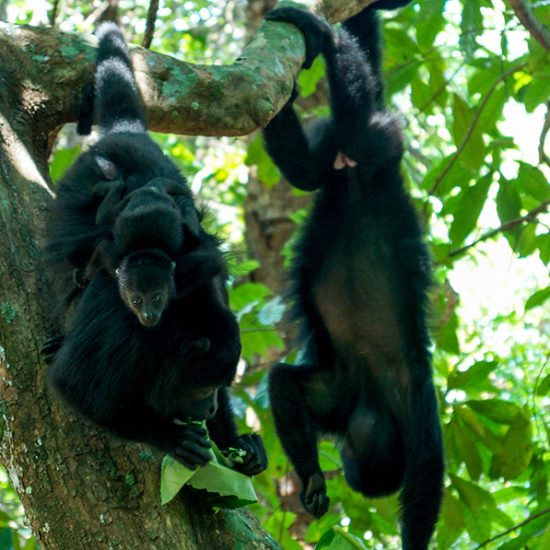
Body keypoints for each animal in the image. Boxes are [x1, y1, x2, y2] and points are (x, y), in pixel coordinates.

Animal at [43, 23, 268, 476]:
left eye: (222, 386)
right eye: (202, 386)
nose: (211, 408)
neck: (177, 321)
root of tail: (126, 135)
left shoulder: (206, 283)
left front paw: (239, 447)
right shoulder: (124, 330)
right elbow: (73, 383)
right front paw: (171, 437)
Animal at [264, 4, 444, 550]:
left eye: (354, 465)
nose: (344, 462)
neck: (371, 392)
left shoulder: (338, 393)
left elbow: (284, 386)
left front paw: (312, 479)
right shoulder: (419, 409)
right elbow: (427, 477)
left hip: (339, 156)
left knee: (307, 169)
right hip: (381, 143)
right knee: (358, 111)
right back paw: (326, 38)